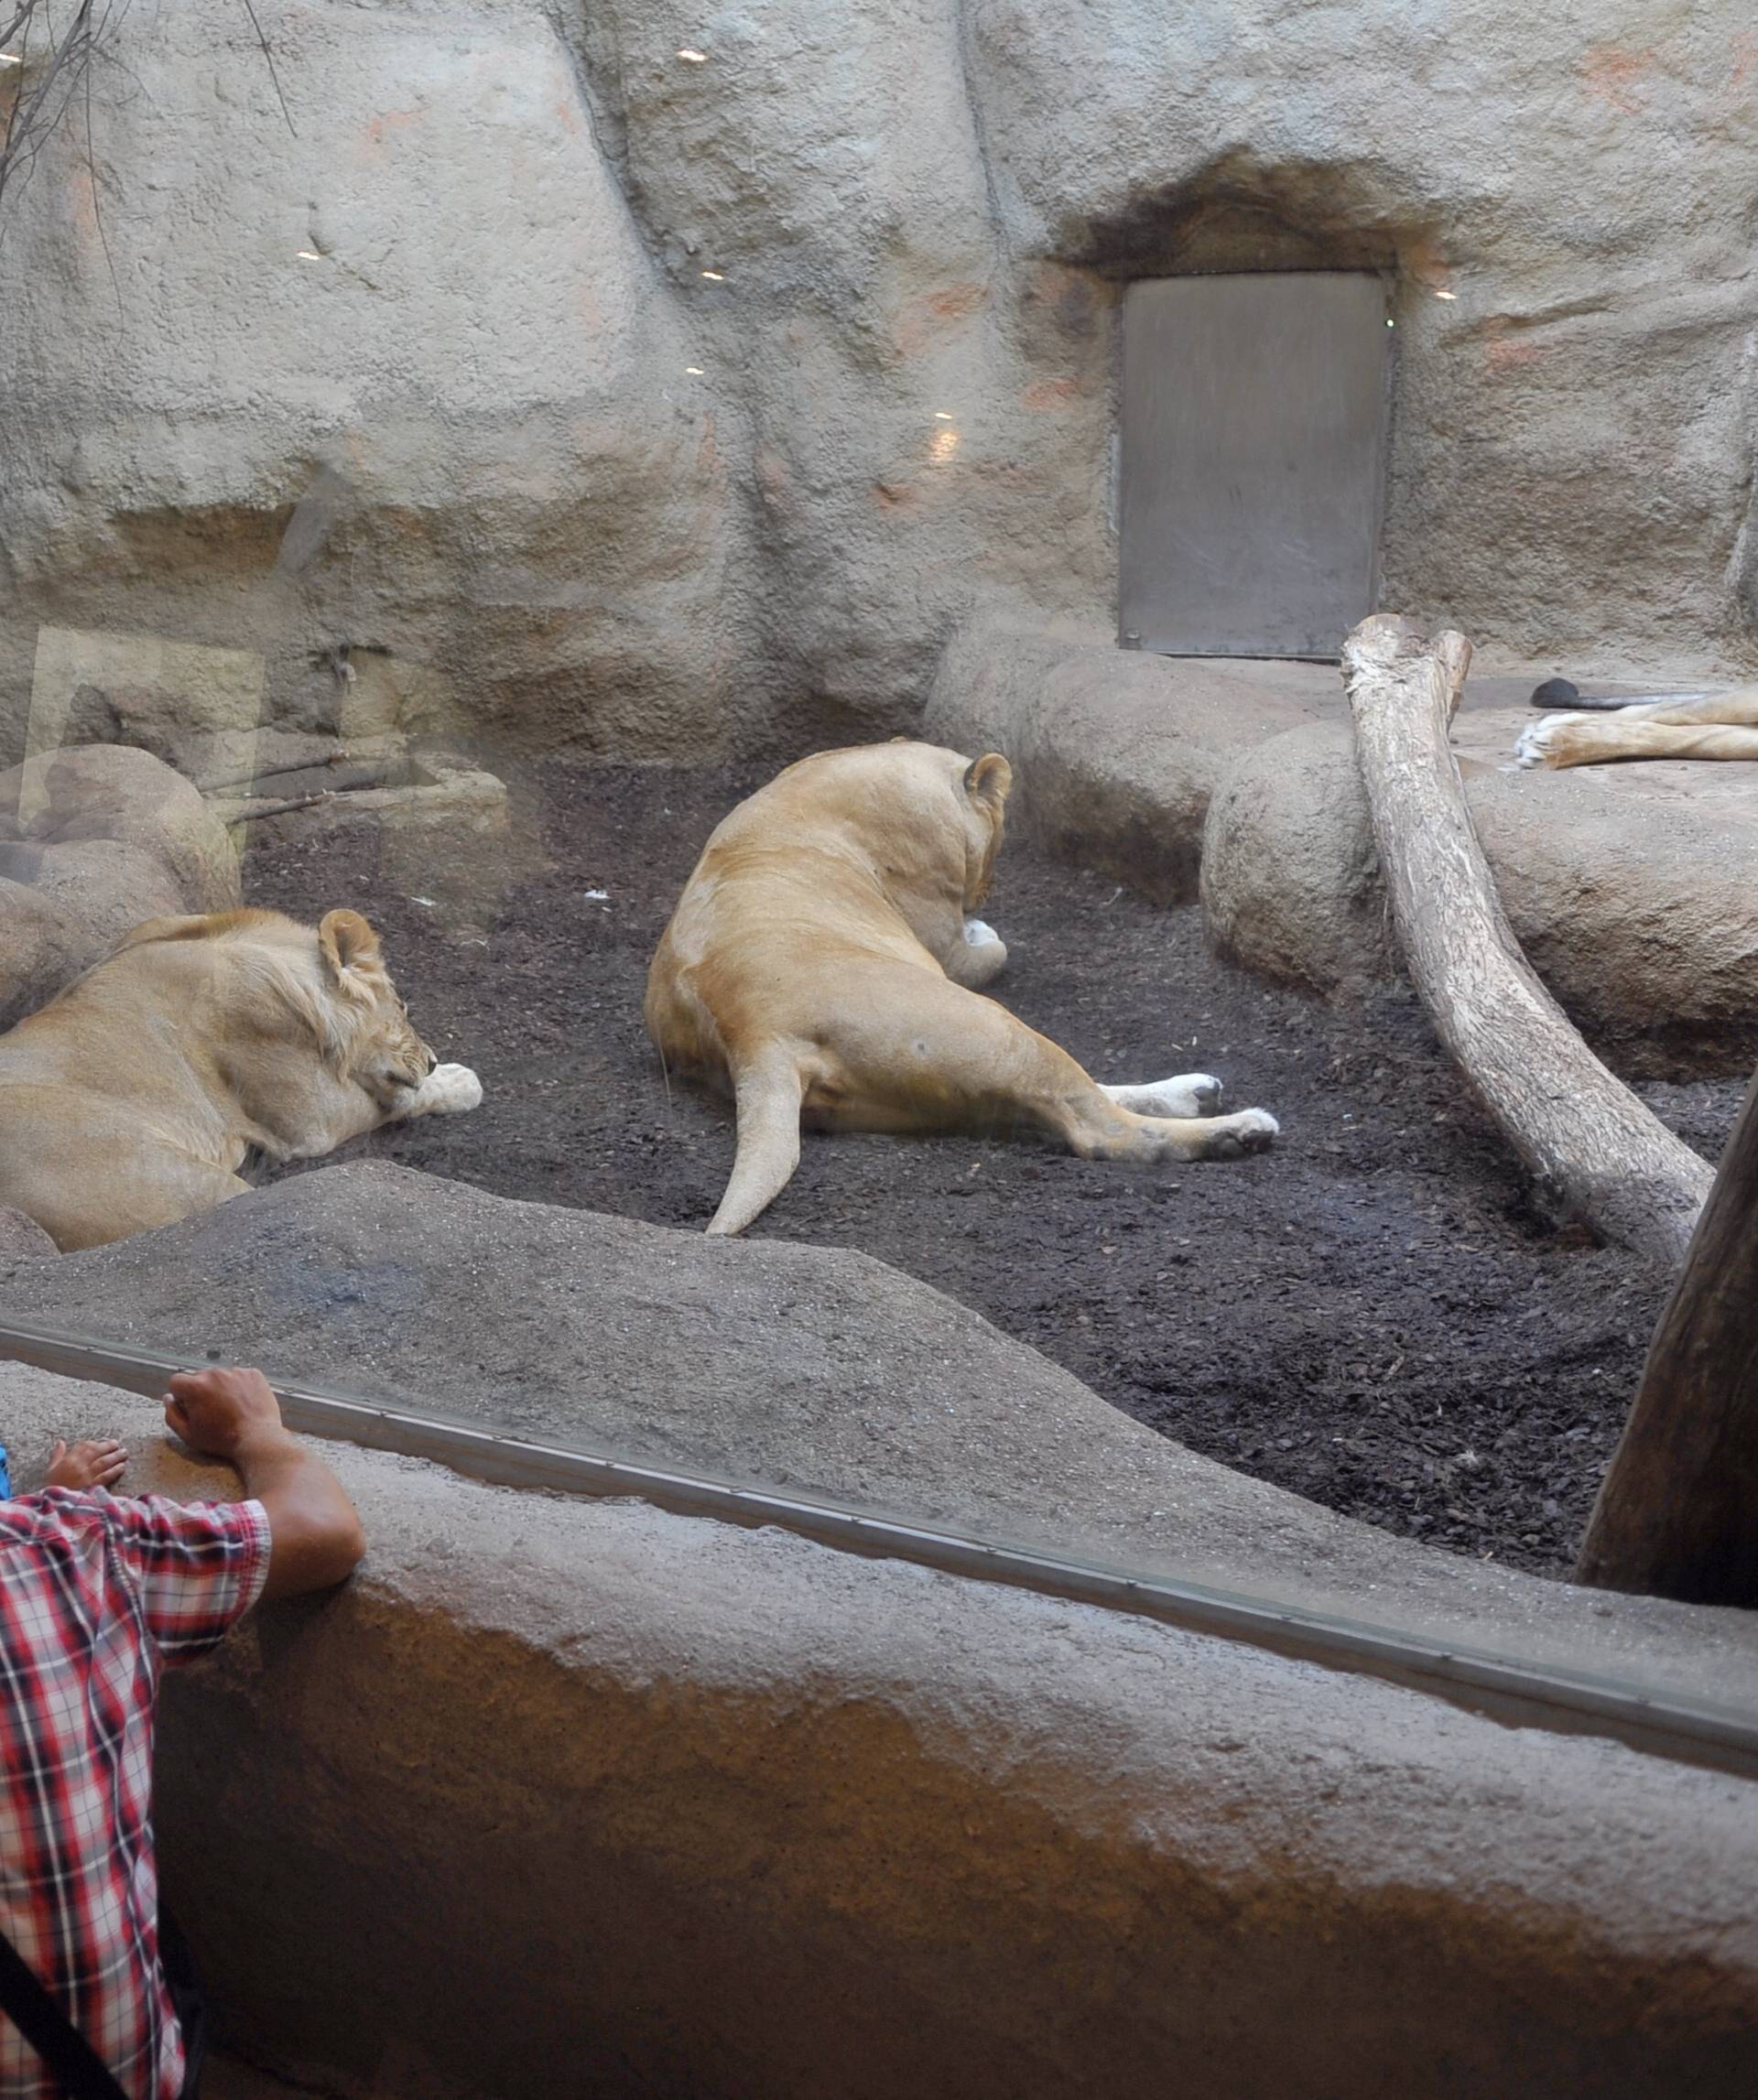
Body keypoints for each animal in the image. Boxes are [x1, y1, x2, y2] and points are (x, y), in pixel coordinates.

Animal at [0, 903, 481, 1243]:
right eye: (402, 1007)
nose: (431, 1059)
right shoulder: (312, 1120)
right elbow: (400, 1099)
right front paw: (461, 1080)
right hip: (172, 1178)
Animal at [642, 739, 1276, 1234]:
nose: (988, 890)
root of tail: (753, 1033)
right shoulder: (941, 938)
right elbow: (992, 950)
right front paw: (986, 929)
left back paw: (1199, 1092)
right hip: (984, 1024)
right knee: (1098, 1128)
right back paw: (1239, 1130)